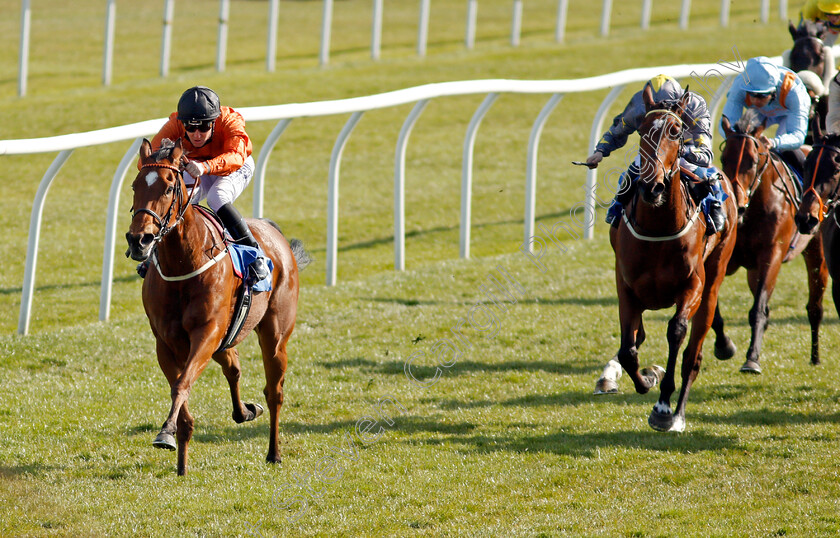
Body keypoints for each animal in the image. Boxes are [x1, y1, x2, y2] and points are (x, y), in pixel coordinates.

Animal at [124, 137, 308, 474]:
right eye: (135, 185)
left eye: (168, 187)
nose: (139, 240)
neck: (184, 262)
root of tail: (273, 232)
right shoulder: (166, 343)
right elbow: (181, 387)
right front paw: (177, 454)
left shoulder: (206, 333)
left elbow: (181, 385)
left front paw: (166, 432)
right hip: (226, 339)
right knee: (233, 366)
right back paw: (245, 411)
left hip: (274, 335)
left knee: (274, 392)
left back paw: (273, 452)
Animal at [600, 86, 740, 432]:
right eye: (641, 131)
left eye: (676, 131)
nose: (652, 187)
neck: (658, 226)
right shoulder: (626, 287)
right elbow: (628, 350)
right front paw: (646, 377)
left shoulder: (693, 285)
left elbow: (676, 332)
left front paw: (662, 406)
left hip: (714, 276)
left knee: (693, 355)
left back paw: (677, 413)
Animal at [716, 109, 828, 370]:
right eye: (724, 158)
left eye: (752, 160)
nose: (737, 203)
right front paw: (724, 346)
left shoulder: (772, 255)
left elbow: (758, 309)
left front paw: (752, 359)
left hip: (816, 252)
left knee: (815, 307)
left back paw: (816, 357)